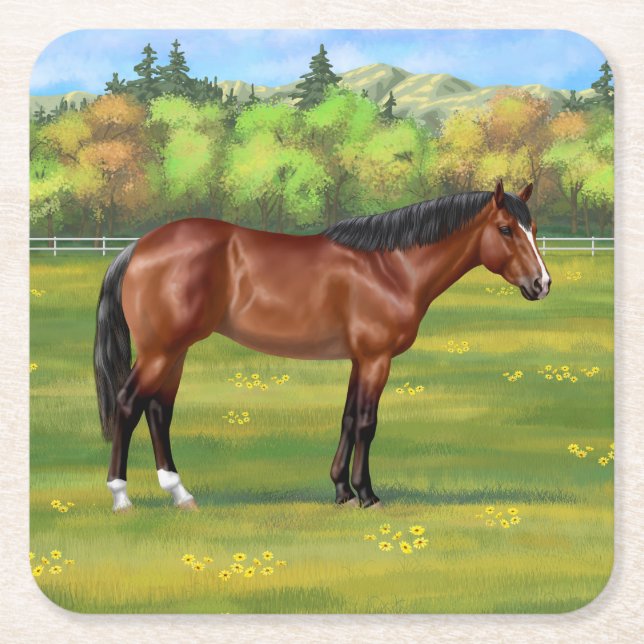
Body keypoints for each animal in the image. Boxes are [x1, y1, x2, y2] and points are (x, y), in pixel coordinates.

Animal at [94, 180, 551, 512]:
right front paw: (367, 495)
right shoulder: (376, 359)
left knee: (158, 411)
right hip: (161, 352)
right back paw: (120, 497)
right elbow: (366, 423)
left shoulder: (359, 360)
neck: (390, 267)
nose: (542, 284)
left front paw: (341, 491)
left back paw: (180, 494)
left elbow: (348, 419)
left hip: (175, 352)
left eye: (533, 230)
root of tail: (139, 247)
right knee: (129, 405)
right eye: (506, 229)